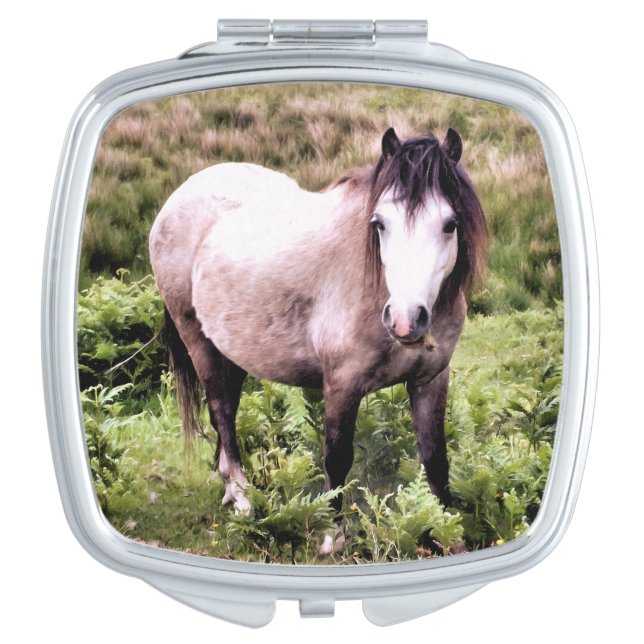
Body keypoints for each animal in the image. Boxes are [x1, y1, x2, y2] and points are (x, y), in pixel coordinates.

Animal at [149, 127, 487, 555]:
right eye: (380, 223)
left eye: (450, 223)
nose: (406, 320)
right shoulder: (342, 384)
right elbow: (337, 457)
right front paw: (332, 536)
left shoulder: (431, 380)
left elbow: (435, 458)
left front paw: (449, 534)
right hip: (198, 340)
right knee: (222, 412)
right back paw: (242, 496)